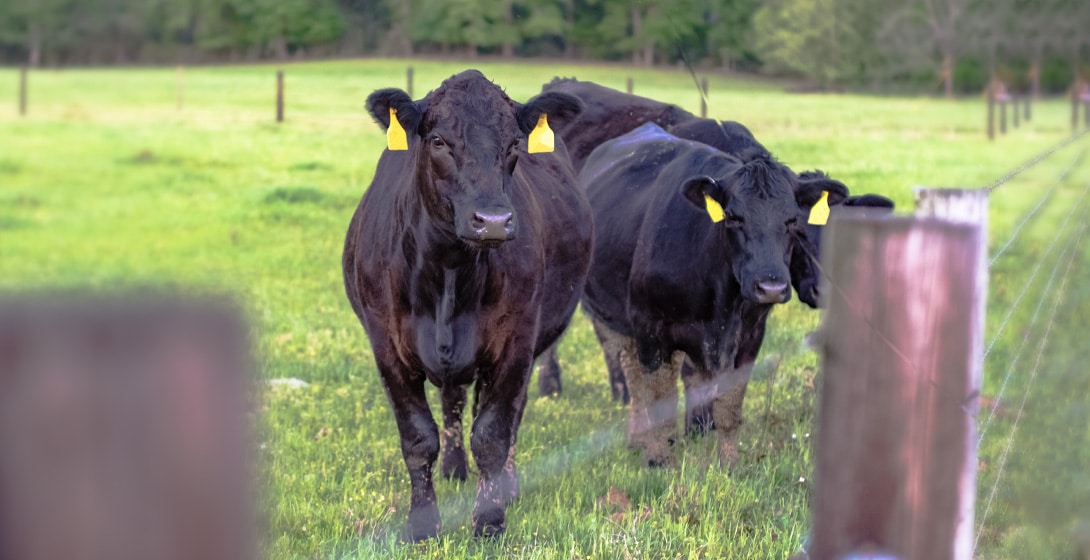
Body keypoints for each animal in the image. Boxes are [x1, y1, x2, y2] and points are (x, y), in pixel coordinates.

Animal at [342, 70, 592, 540]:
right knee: (453, 402)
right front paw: (423, 525)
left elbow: (492, 433)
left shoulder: (516, 342)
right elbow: (419, 437)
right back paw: (454, 469)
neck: (449, 272)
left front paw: (489, 520)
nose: (492, 221)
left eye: (514, 144)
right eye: (438, 140)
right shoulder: (386, 345)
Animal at [578, 122, 831, 467]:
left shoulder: (750, 335)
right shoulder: (649, 325)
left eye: (793, 221)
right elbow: (659, 397)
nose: (771, 287)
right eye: (733, 217)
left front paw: (729, 464)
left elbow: (728, 406)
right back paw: (641, 440)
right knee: (634, 375)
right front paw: (659, 462)